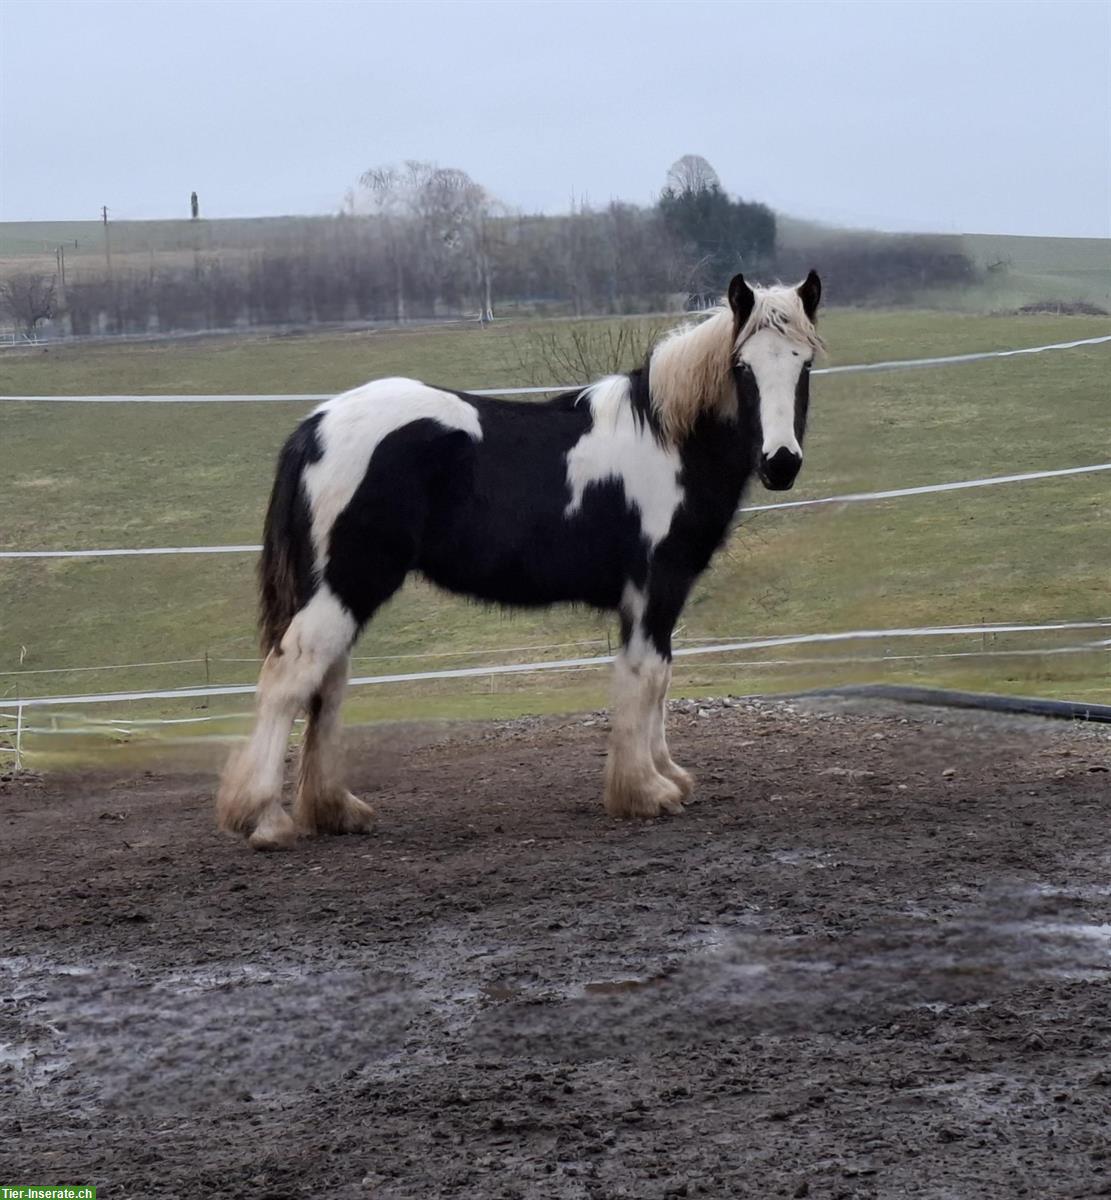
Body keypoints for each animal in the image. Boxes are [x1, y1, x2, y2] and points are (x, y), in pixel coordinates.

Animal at [219, 272, 825, 854]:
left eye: (805, 363)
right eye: (743, 368)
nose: (781, 463)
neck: (669, 440)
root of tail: (315, 428)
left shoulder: (656, 594)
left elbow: (660, 678)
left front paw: (666, 776)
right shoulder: (655, 585)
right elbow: (648, 676)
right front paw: (647, 792)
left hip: (339, 589)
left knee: (327, 683)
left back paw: (335, 811)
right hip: (346, 584)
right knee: (290, 679)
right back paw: (266, 820)